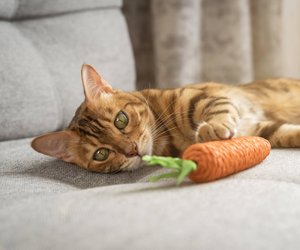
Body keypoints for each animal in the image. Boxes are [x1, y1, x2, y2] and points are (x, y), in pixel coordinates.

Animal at [31, 63, 300, 173]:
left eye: (121, 120)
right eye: (101, 154)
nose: (132, 150)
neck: (169, 137)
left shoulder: (203, 98)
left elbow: (218, 110)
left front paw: (211, 128)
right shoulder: (259, 129)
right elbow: (287, 133)